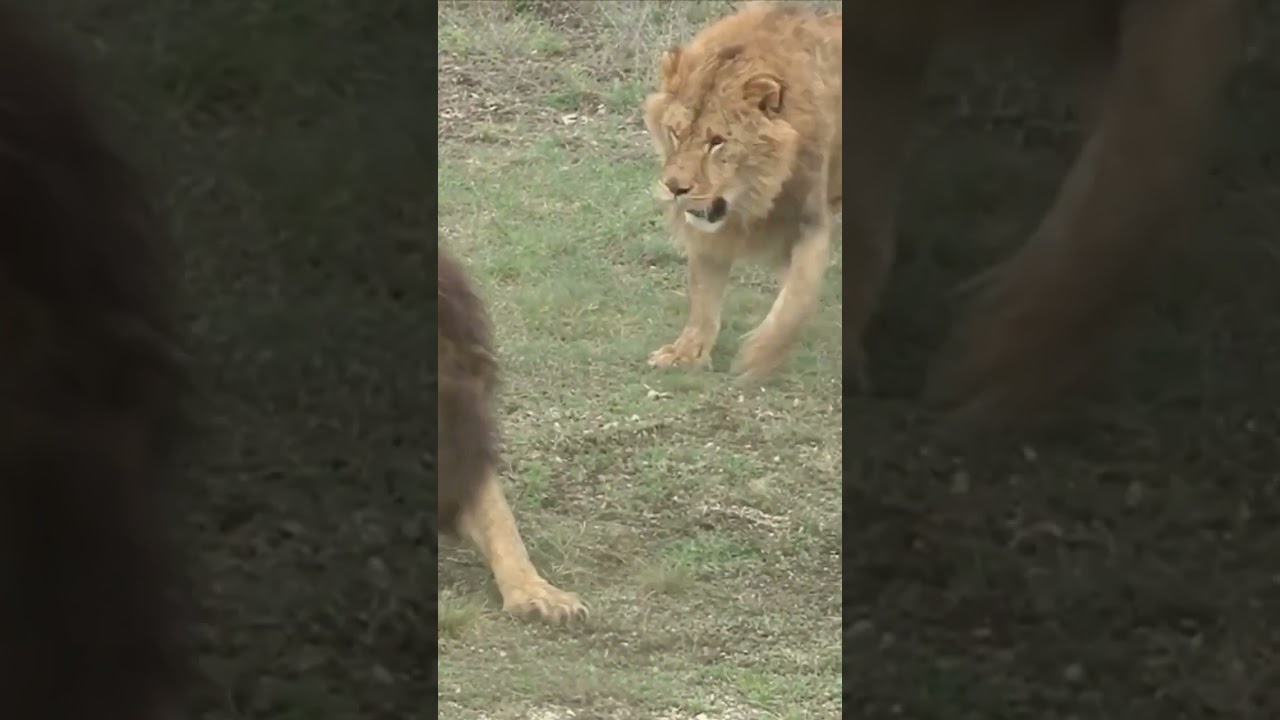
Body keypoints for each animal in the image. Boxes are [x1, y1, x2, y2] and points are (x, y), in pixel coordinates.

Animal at [642, 1, 843, 383]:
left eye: (717, 142)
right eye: (676, 132)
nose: (675, 188)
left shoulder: (812, 217)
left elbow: (798, 297)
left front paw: (759, 358)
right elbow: (703, 291)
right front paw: (686, 353)